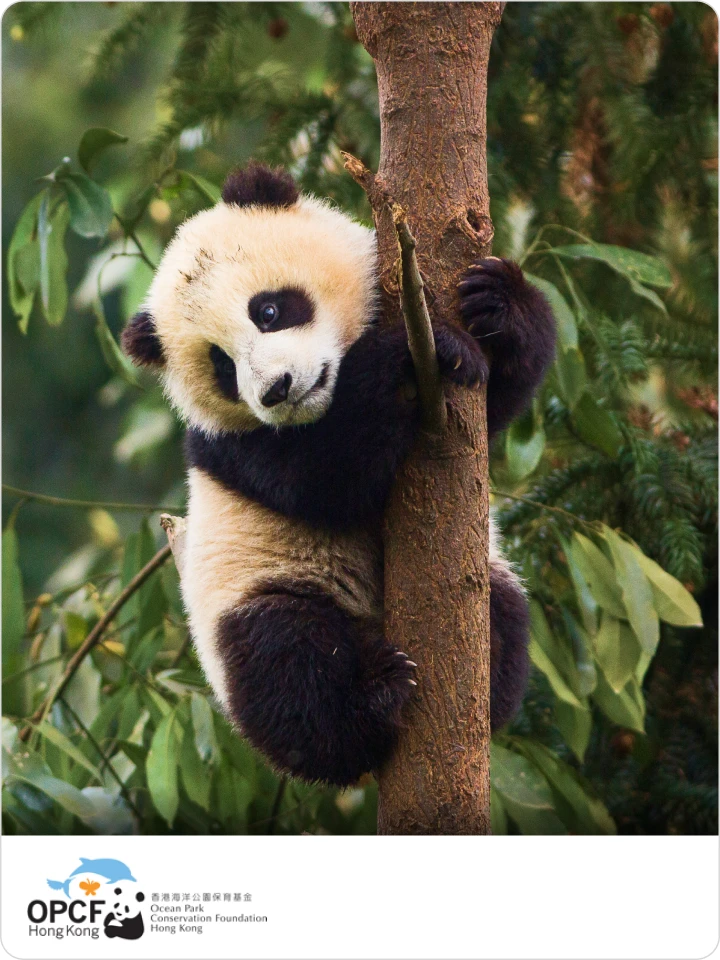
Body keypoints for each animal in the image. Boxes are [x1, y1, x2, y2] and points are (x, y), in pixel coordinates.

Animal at [122, 163, 555, 788]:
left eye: (269, 310)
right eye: (222, 366)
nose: (277, 391)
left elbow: (498, 400)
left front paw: (496, 302)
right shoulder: (233, 446)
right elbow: (326, 476)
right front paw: (410, 353)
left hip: (490, 573)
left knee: (504, 610)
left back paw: (487, 688)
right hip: (258, 592)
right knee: (286, 665)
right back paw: (372, 698)